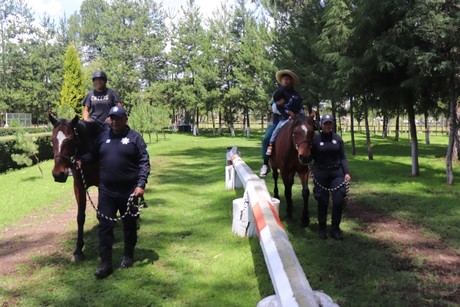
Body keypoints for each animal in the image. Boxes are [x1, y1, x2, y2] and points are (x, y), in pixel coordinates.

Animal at [48, 113, 99, 262]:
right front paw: (78, 250)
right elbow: (80, 217)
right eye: (52, 140)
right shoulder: (79, 186)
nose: (58, 174)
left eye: (70, 140)